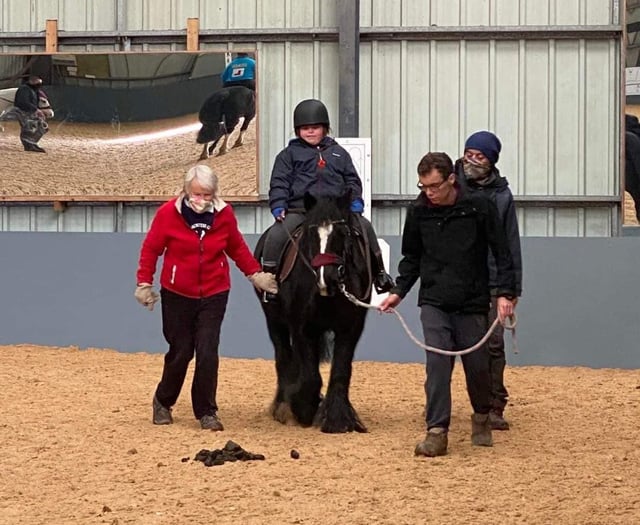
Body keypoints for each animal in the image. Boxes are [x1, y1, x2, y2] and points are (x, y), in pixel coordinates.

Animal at [252, 194, 372, 432]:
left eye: (342, 233)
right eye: (310, 234)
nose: (327, 278)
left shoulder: (350, 328)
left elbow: (341, 371)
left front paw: (338, 418)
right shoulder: (302, 327)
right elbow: (309, 376)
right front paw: (303, 408)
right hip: (274, 321)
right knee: (283, 357)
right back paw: (283, 407)